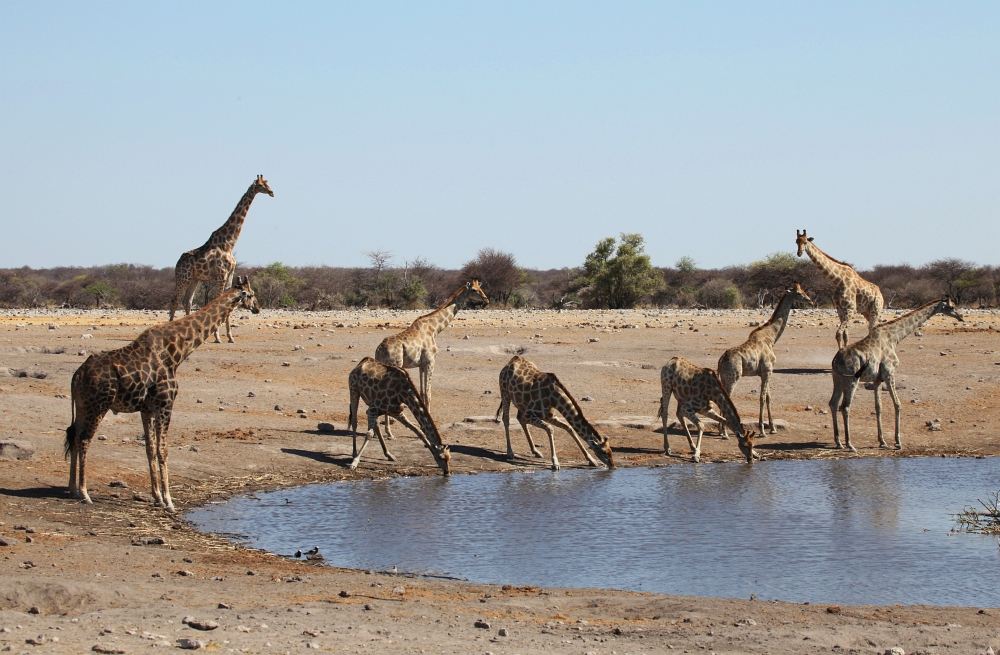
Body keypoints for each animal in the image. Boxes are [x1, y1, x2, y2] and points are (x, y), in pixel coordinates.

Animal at [65, 276, 260, 512]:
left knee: (74, 436)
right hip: (98, 405)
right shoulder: (165, 404)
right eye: (251, 294)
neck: (176, 352)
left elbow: (150, 449)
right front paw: (169, 501)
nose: (257, 308)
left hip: (82, 406)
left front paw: (157, 496)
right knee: (84, 440)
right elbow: (163, 450)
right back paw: (84, 493)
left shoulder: (146, 409)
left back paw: (73, 489)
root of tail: (77, 376)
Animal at [170, 174, 274, 344]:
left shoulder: (230, 273)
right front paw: (218, 337)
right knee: (175, 300)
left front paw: (230, 337)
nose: (272, 192)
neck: (228, 243)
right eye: (261, 185)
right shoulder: (221, 274)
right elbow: (219, 301)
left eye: (267, 183)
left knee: (187, 301)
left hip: (194, 279)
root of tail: (177, 263)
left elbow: (230, 301)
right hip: (183, 278)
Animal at [376, 278, 488, 416]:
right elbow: (428, 394)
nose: (486, 300)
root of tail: (379, 350)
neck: (434, 329)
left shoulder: (421, 365)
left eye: (480, 288)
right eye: (473, 290)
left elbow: (422, 393)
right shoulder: (430, 362)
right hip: (395, 365)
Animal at [720, 282, 812, 436]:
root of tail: (720, 361)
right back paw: (725, 433)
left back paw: (722, 431)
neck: (771, 338)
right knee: (726, 398)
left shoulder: (766, 372)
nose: (810, 301)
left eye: (803, 290)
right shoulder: (768, 370)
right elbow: (762, 398)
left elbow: (769, 397)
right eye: (799, 293)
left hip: (724, 377)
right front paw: (762, 430)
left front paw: (773, 428)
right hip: (733, 377)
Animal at [828, 296, 960, 452]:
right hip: (851, 380)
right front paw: (898, 442)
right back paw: (850, 444)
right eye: (951, 307)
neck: (894, 338)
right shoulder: (889, 373)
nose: (961, 317)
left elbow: (878, 407)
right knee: (845, 406)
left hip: (837, 379)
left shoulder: (877, 379)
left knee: (833, 403)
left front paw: (882, 441)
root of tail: (835, 360)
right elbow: (897, 404)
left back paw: (839, 442)